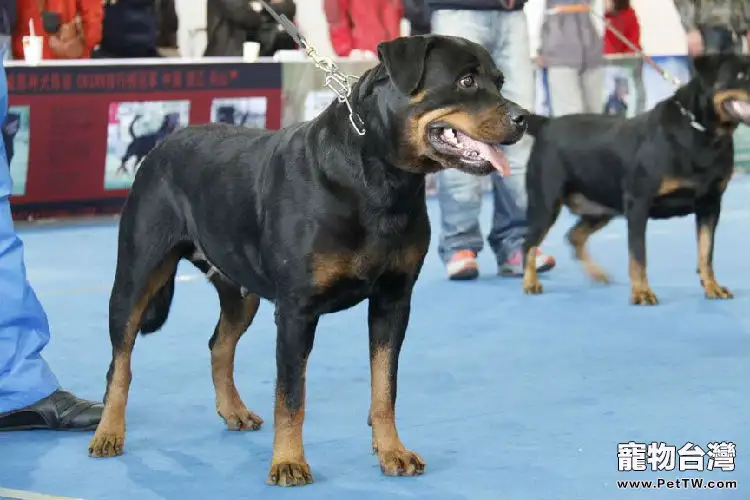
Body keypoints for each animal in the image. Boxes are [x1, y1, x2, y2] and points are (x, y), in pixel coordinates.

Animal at [88, 36, 528, 488]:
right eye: (466, 81)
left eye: (499, 81)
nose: (524, 118)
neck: (381, 179)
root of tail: (163, 146)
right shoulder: (296, 310)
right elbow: (291, 394)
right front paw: (288, 462)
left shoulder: (393, 301)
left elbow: (384, 386)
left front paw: (392, 451)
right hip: (136, 276)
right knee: (120, 363)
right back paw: (108, 432)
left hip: (240, 289)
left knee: (219, 344)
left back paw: (234, 410)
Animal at [524, 54, 750, 304]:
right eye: (740, 75)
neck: (704, 135)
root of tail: (546, 124)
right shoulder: (638, 203)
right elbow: (638, 254)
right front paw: (642, 292)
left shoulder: (710, 205)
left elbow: (705, 252)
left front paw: (712, 287)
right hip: (545, 204)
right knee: (529, 243)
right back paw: (530, 282)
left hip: (599, 209)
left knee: (574, 236)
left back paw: (597, 274)